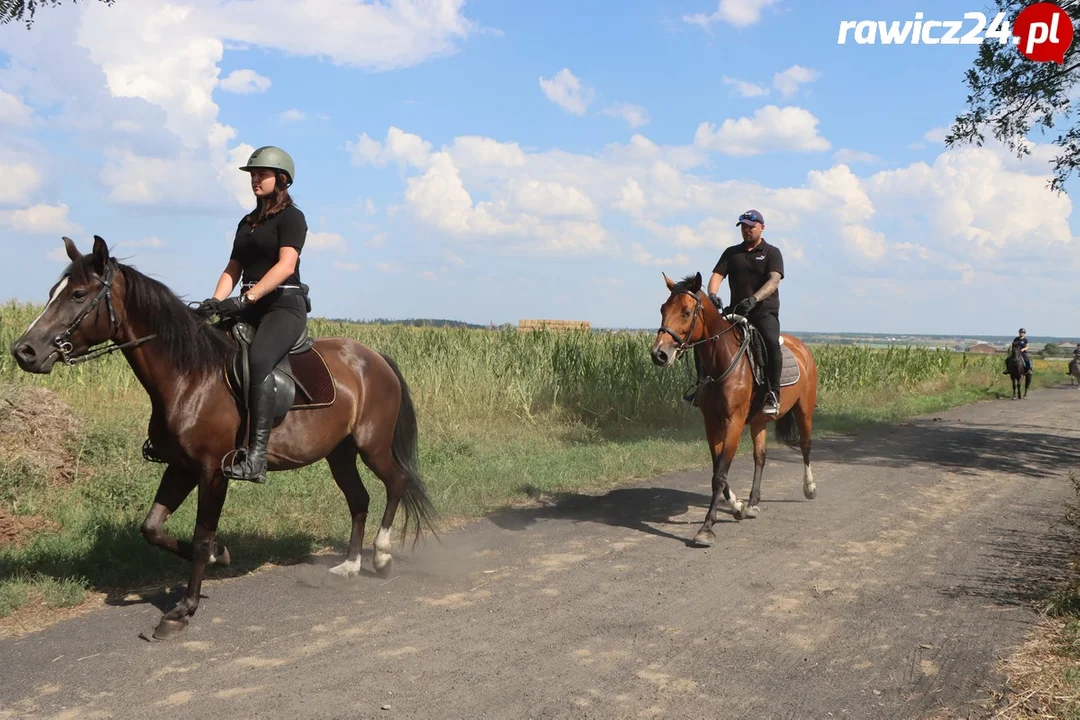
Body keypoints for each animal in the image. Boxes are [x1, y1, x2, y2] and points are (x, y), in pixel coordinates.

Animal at [7, 236, 438, 643]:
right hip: (340, 453)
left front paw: (182, 611)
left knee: (396, 483)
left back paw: (381, 558)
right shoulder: (180, 467)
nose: (24, 351)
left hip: (372, 445)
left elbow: (200, 537)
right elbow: (152, 529)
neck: (190, 377)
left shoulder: (213, 472)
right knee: (359, 499)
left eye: (78, 295)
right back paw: (349, 566)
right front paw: (221, 555)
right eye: (53, 291)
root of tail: (375, 357)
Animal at [648, 273, 816, 548]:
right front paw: (738, 506)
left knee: (805, 445)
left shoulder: (734, 422)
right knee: (761, 456)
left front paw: (706, 528)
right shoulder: (712, 424)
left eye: (686, 312)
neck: (722, 361)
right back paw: (753, 503)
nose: (659, 354)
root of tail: (802, 347)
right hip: (759, 421)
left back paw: (809, 487)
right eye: (663, 309)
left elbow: (721, 473)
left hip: (804, 410)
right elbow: (719, 469)